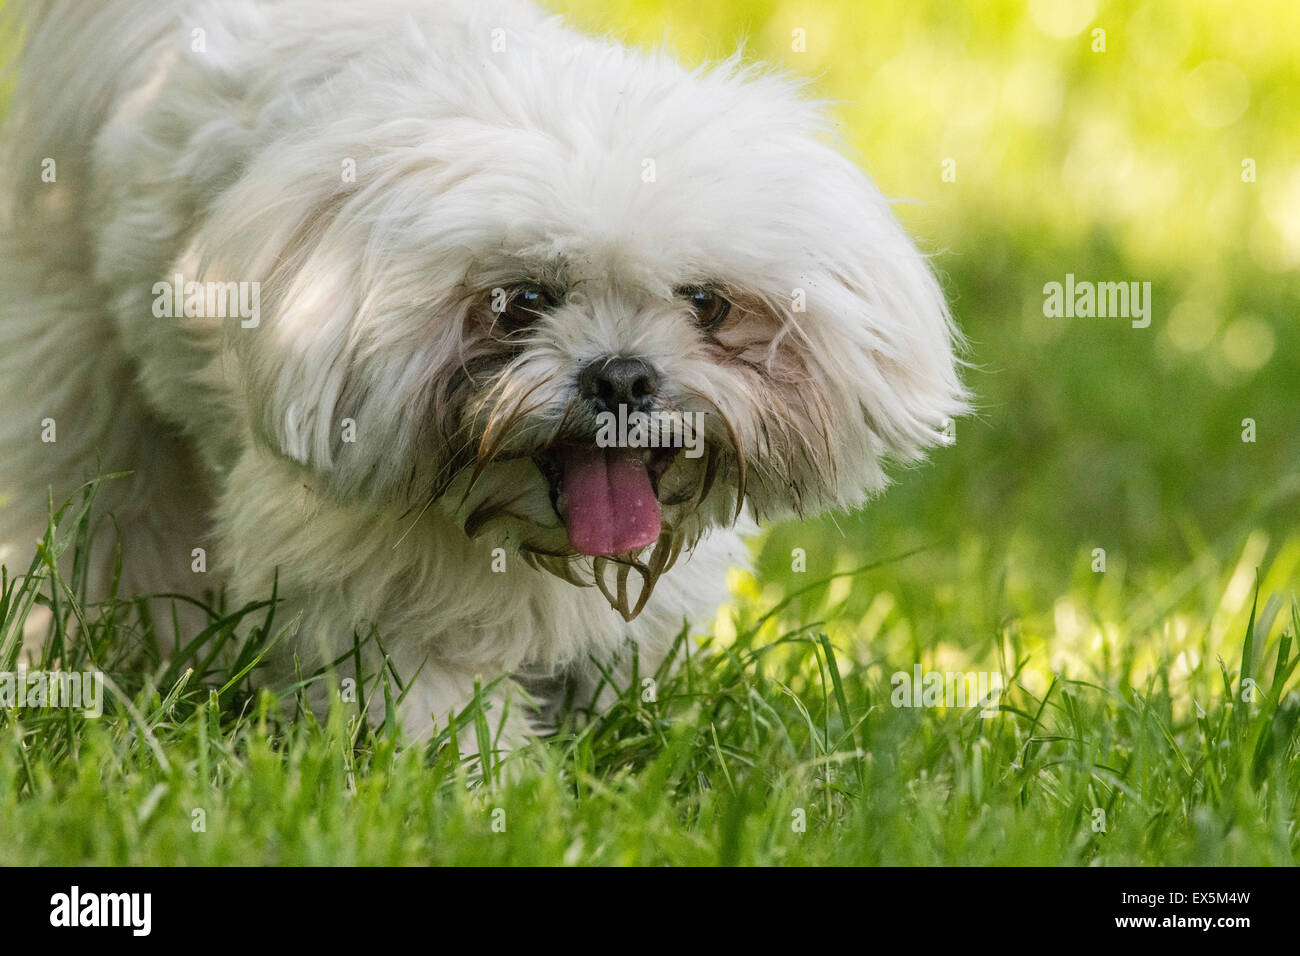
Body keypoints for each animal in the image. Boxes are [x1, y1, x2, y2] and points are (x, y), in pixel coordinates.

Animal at [2, 0, 967, 749]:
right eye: (518, 301)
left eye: (707, 304)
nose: (621, 377)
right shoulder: (368, 590)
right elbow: (438, 712)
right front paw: (493, 788)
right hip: (74, 364)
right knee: (103, 511)